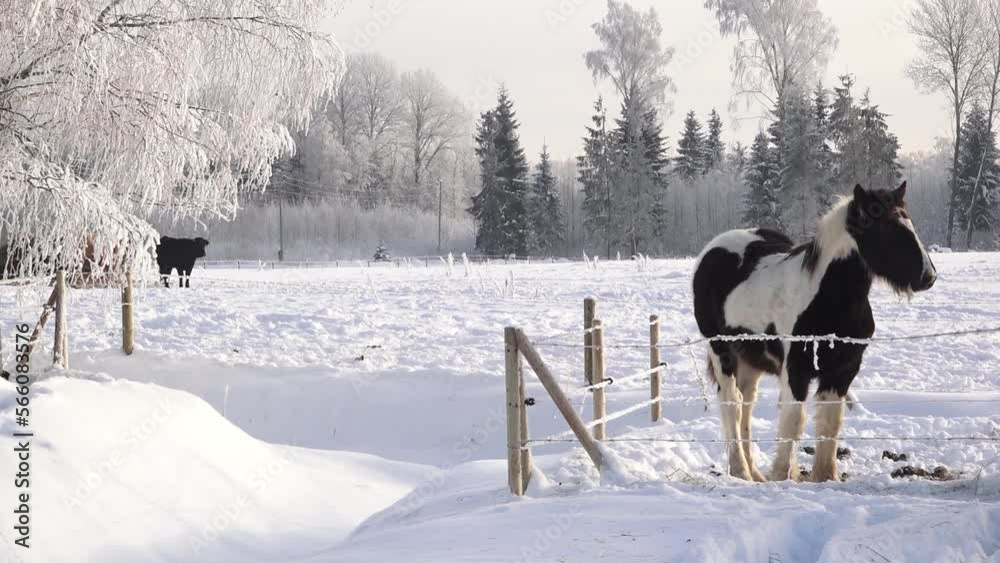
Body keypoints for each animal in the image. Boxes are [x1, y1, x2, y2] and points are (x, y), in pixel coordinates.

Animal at [692, 182, 937, 482]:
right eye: (888, 227)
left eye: (908, 222)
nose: (928, 276)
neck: (829, 300)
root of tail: (713, 249)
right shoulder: (795, 370)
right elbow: (794, 420)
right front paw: (784, 475)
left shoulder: (843, 371)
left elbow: (831, 421)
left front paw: (825, 476)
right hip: (722, 353)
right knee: (732, 405)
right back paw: (741, 472)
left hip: (751, 361)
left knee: (746, 405)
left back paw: (755, 473)